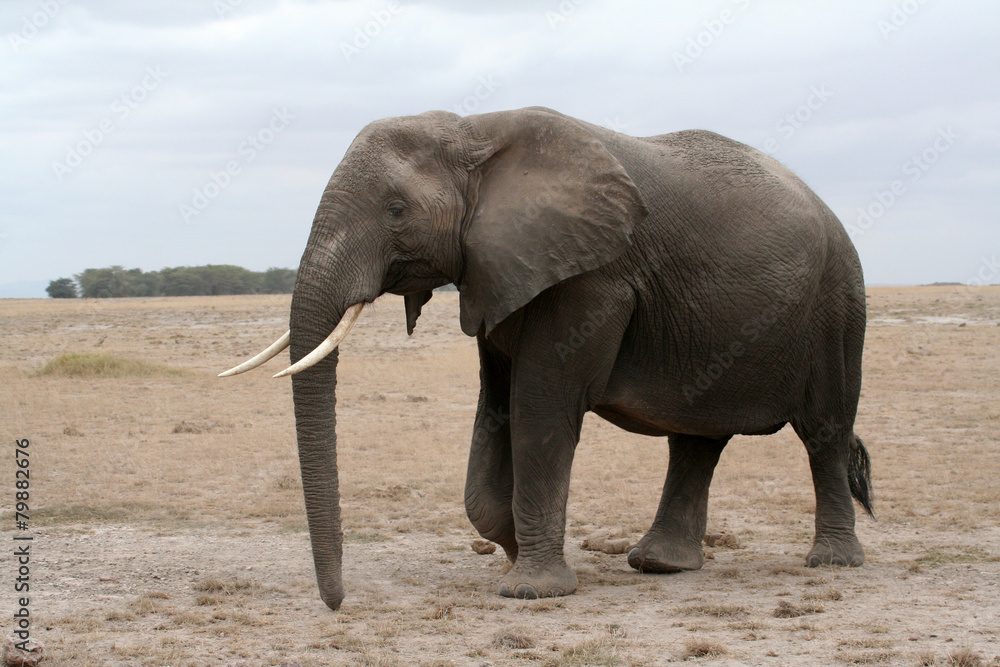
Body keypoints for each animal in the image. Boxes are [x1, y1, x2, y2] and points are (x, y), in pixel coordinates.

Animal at [221, 104, 876, 612]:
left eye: (396, 210)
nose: (337, 604)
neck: (475, 132)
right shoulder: (500, 272)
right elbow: (497, 409)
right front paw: (511, 550)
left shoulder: (592, 279)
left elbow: (541, 409)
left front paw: (530, 590)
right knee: (696, 441)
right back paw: (660, 565)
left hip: (838, 304)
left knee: (824, 432)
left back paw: (831, 563)